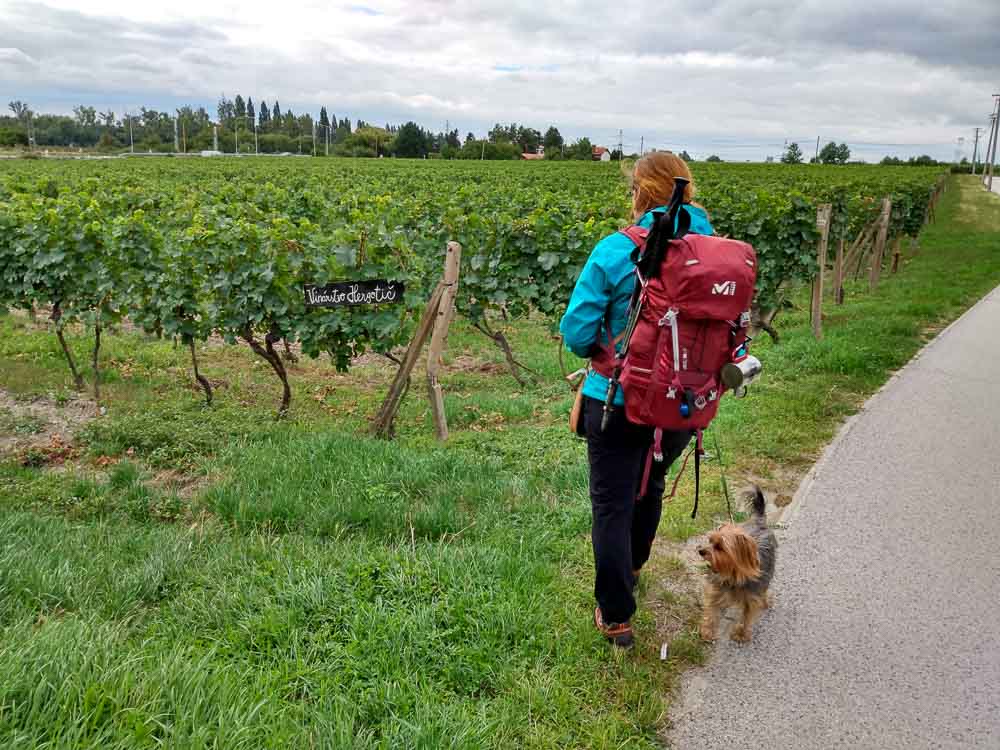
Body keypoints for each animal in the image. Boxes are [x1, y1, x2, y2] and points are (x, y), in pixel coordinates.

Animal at [700, 490, 776, 644]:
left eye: (719, 547)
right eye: (710, 540)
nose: (701, 551)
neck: (733, 574)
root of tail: (759, 521)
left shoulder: (752, 596)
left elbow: (747, 616)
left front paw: (741, 634)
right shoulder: (716, 588)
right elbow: (711, 609)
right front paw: (708, 631)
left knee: (764, 590)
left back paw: (765, 601)